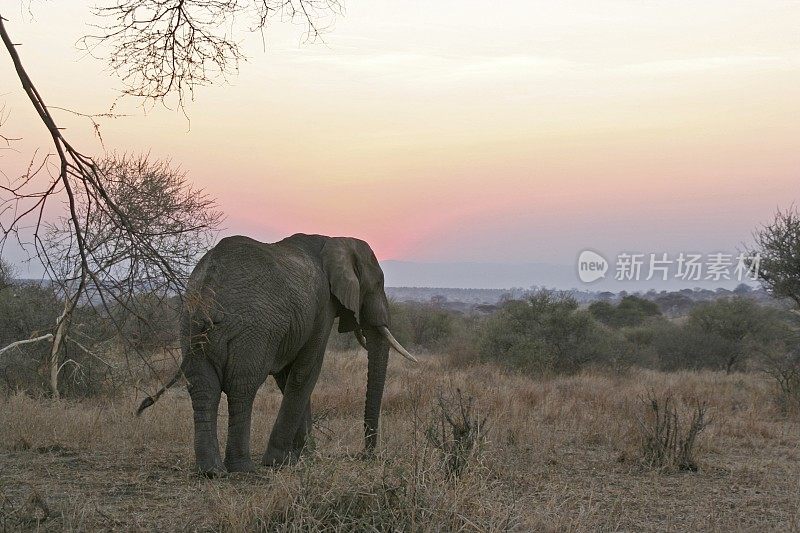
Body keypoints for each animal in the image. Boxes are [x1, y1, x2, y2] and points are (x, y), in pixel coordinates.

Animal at [135, 233, 416, 474]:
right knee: (242, 387)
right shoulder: (322, 307)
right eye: (377, 285)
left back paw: (211, 471)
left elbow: (286, 377)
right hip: (253, 328)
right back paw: (242, 468)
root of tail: (208, 285)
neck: (336, 239)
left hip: (189, 326)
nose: (366, 455)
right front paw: (281, 462)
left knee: (204, 387)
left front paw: (303, 457)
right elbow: (306, 372)